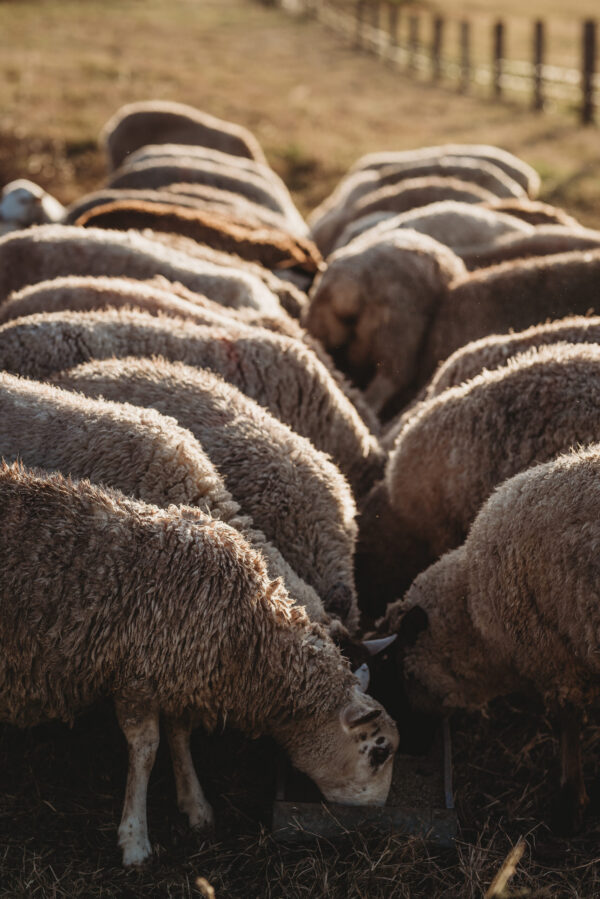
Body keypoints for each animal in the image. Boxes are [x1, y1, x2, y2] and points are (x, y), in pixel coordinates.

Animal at [1, 461, 398, 865]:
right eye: (379, 752)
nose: (375, 818)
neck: (248, 630)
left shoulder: (178, 674)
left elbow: (179, 735)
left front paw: (195, 806)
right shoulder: (136, 675)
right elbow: (145, 751)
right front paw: (135, 840)